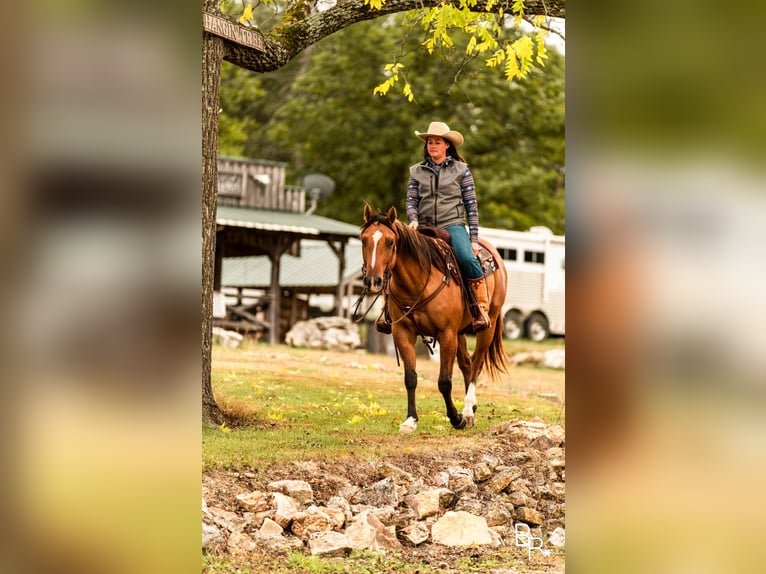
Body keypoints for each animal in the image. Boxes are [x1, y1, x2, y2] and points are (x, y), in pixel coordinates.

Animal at [360, 205, 510, 434]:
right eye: (363, 240)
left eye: (390, 242)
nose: (373, 280)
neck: (418, 283)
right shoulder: (402, 332)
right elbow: (410, 377)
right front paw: (410, 420)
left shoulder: (446, 333)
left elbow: (444, 382)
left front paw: (456, 418)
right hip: (460, 333)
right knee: (466, 364)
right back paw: (471, 410)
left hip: (487, 326)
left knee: (476, 363)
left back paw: (467, 410)